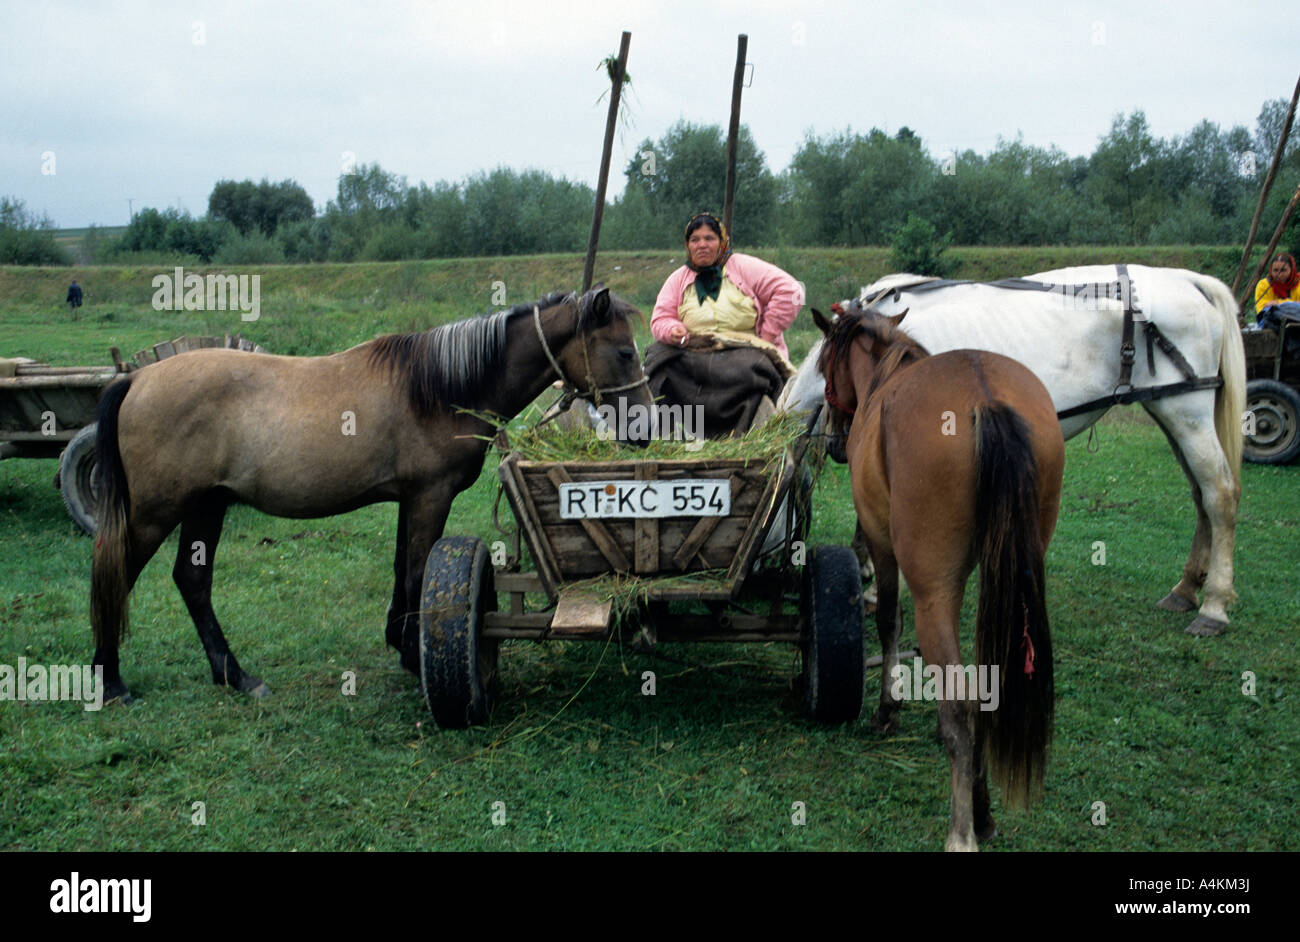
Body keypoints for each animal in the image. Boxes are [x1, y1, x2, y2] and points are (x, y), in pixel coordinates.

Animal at [91, 287, 650, 706]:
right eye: (624, 352)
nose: (644, 427)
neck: (440, 387)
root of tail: (136, 378)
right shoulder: (430, 496)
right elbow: (419, 573)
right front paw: (419, 661)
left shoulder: (409, 499)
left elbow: (402, 570)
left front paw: (402, 645)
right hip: (155, 515)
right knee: (116, 574)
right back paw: (110, 679)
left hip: (206, 505)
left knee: (192, 582)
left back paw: (235, 675)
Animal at [795, 265, 1242, 631]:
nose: (838, 446)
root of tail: (1188, 279)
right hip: (1169, 411)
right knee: (1200, 496)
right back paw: (1186, 589)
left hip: (1188, 414)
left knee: (1219, 495)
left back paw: (1214, 606)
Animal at [811, 302, 1066, 852]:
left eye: (823, 367)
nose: (838, 442)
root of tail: (986, 397)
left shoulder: (882, 544)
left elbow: (888, 620)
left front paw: (888, 708)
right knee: (984, 690)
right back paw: (982, 812)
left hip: (932, 588)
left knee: (960, 706)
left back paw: (962, 829)